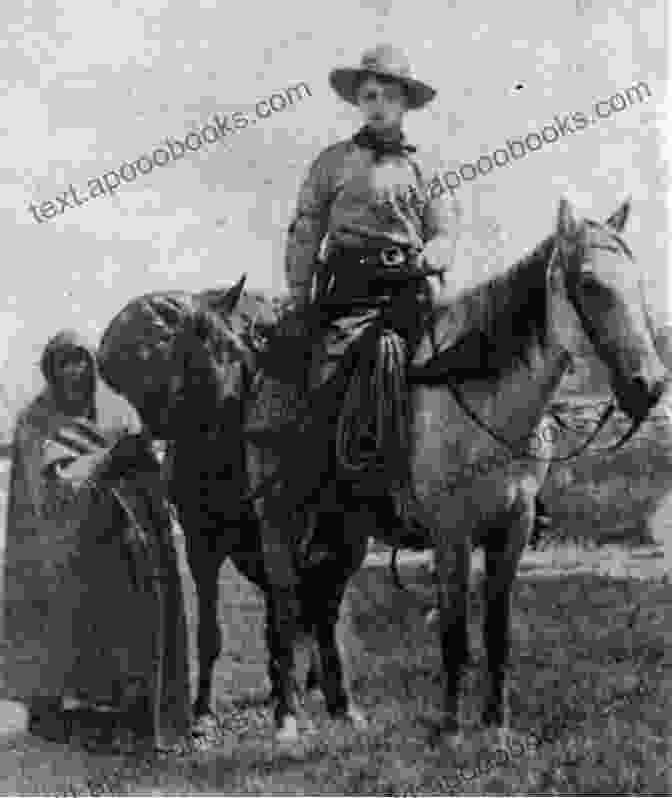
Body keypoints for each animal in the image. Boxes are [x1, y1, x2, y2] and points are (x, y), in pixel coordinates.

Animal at [96, 197, 668, 748]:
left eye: (638, 283)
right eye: (589, 283)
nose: (650, 385)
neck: (478, 398)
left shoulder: (513, 529)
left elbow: (497, 632)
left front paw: (497, 724)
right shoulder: (451, 534)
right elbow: (455, 632)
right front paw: (449, 728)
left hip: (339, 539)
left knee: (319, 614)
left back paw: (342, 708)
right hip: (244, 531)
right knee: (267, 612)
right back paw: (257, 718)